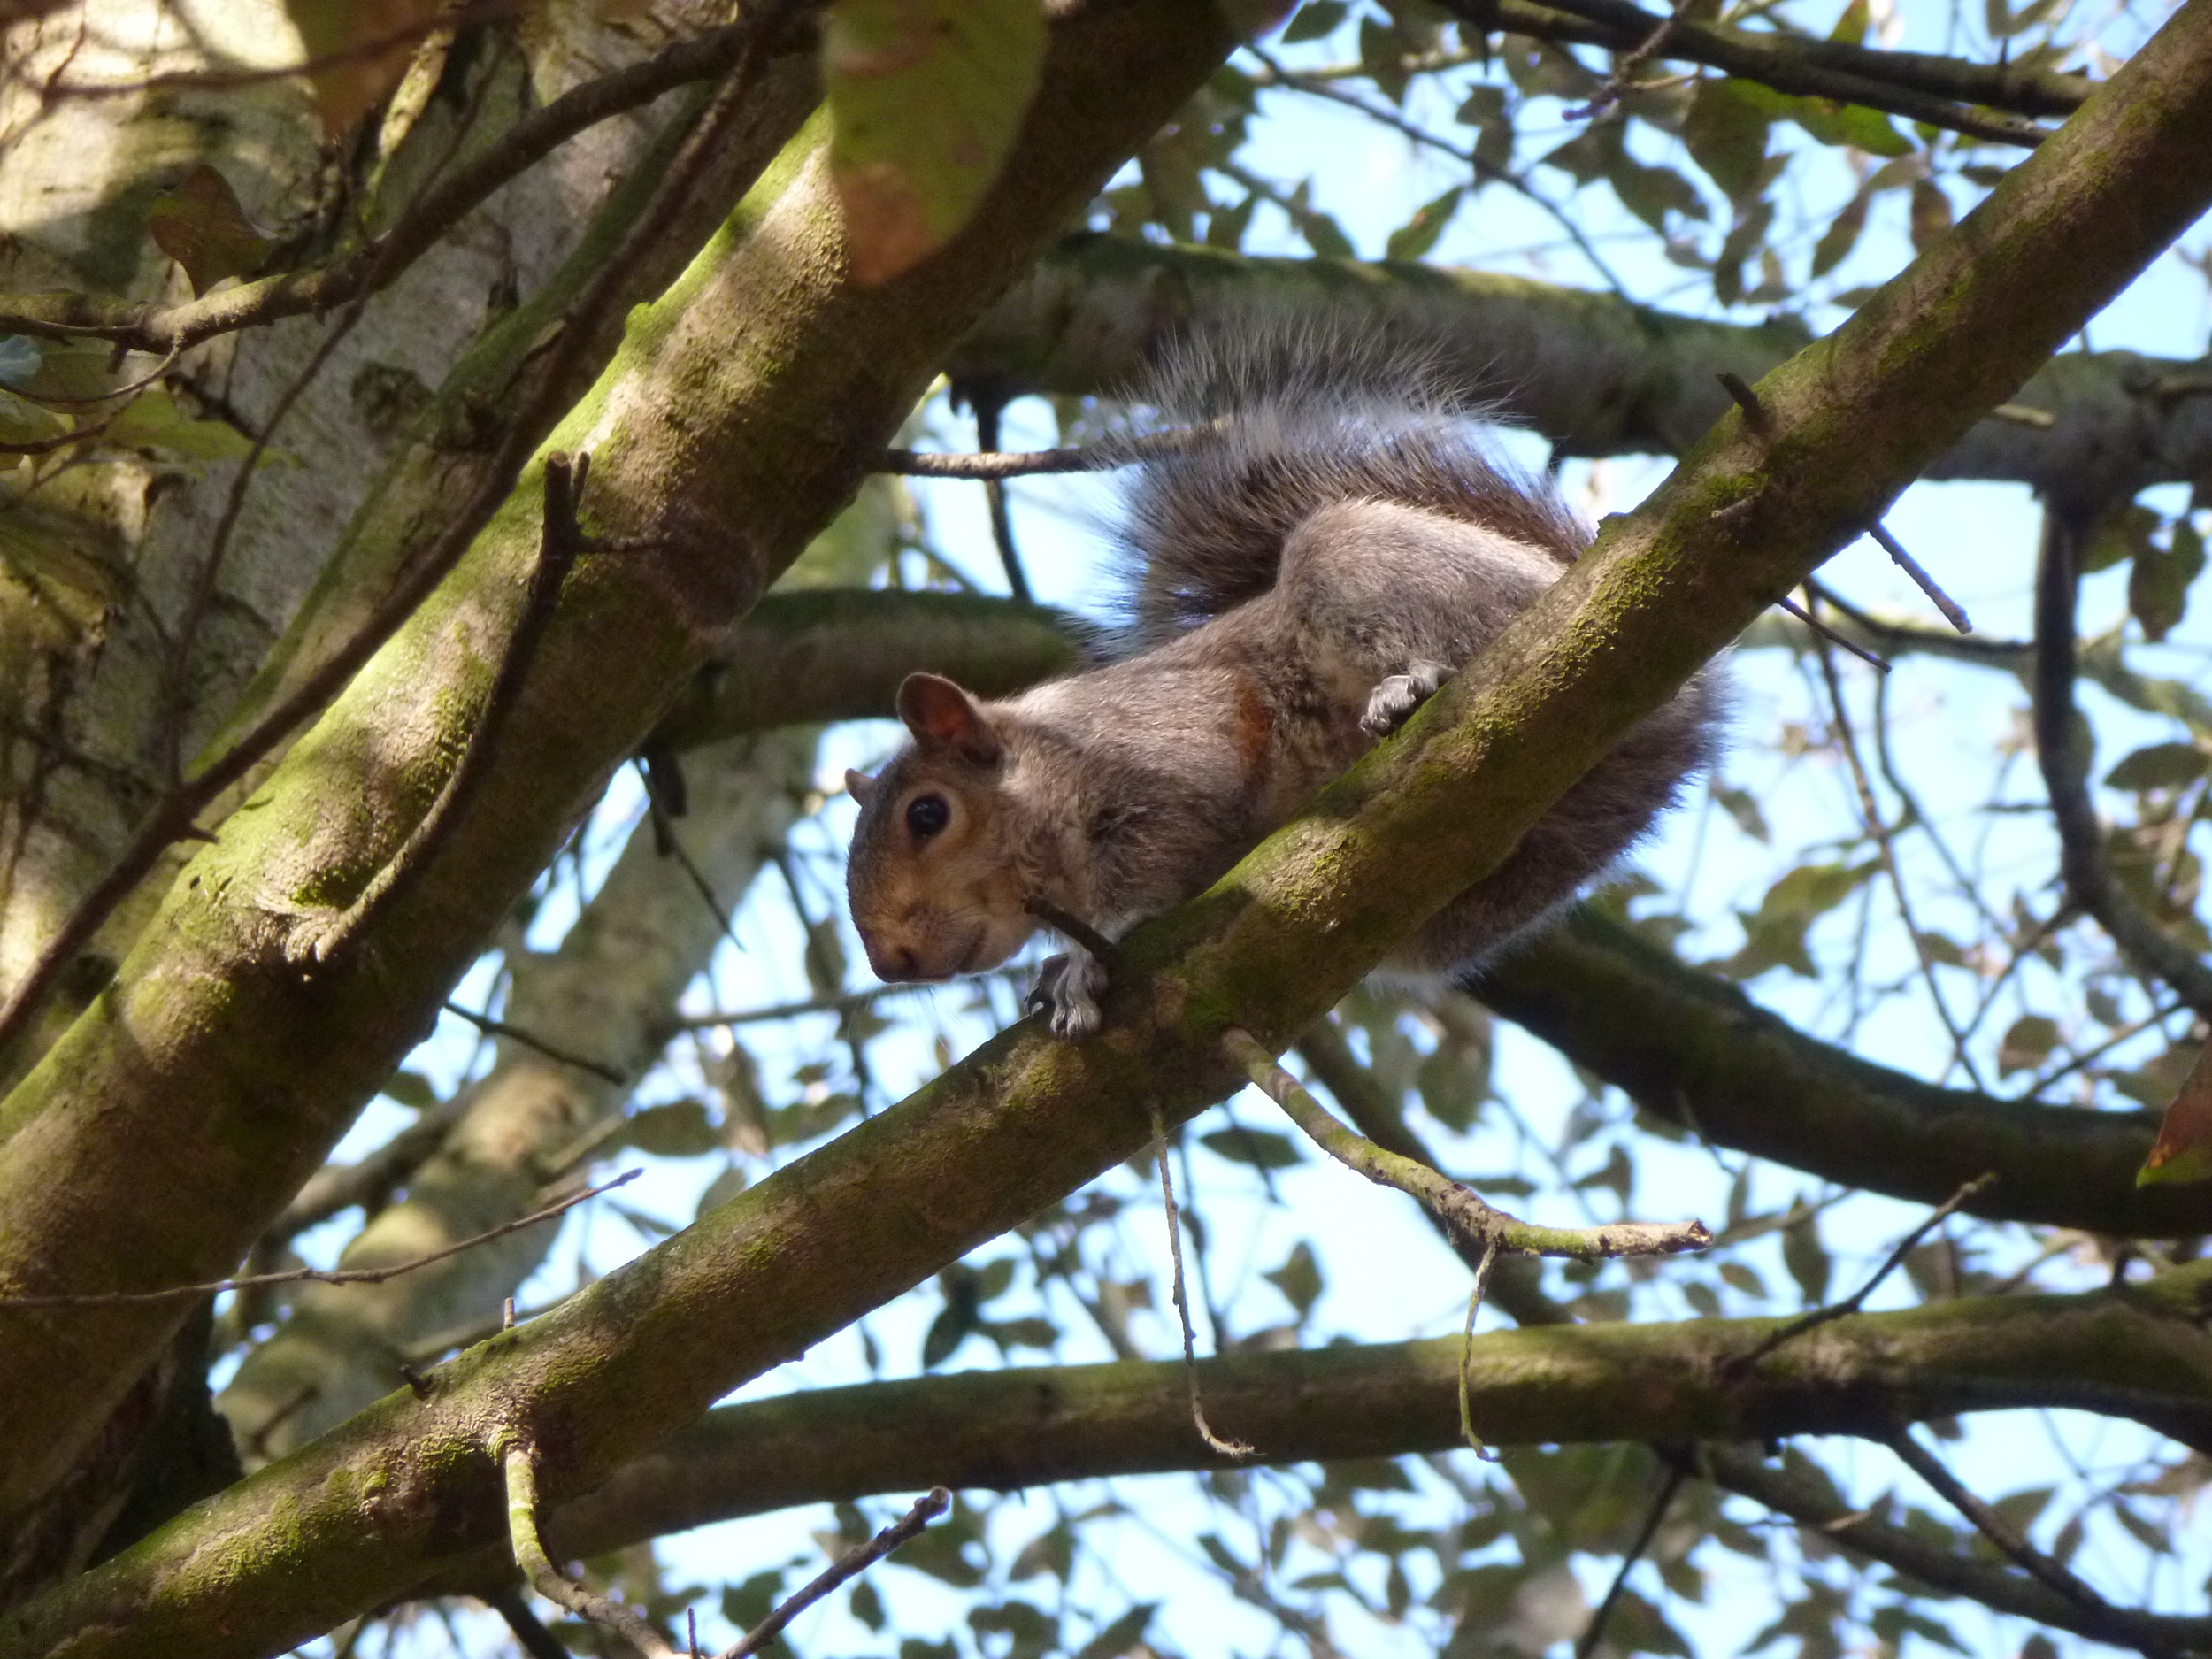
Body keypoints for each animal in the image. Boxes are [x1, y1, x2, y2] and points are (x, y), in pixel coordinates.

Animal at [836, 325, 1717, 1040]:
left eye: (927, 814)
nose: (890, 961)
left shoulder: (1173, 746)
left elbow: (1166, 856)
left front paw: (1091, 960)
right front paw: (1058, 969)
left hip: (1375, 567)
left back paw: (1416, 686)